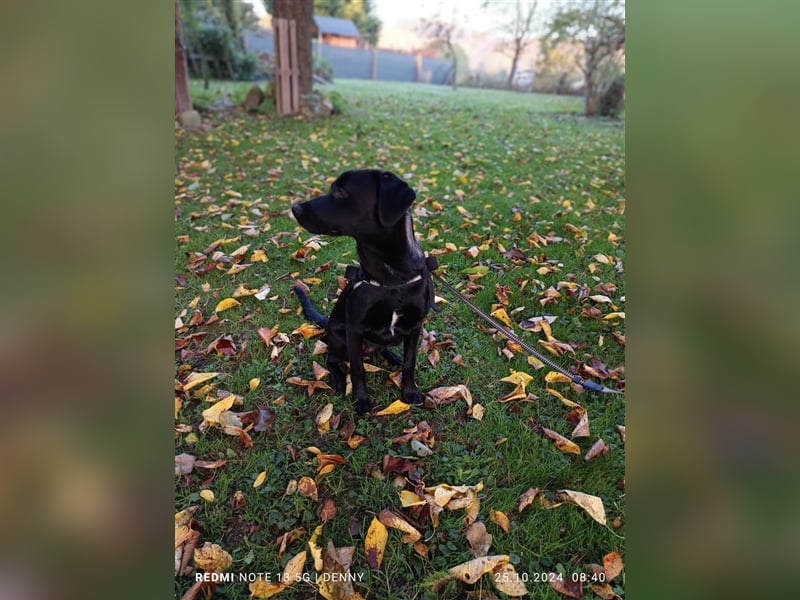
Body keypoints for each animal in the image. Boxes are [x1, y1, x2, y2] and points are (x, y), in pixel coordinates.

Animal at [290, 168, 438, 412]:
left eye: (340, 192)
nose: (295, 209)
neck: (391, 277)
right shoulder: (354, 330)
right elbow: (358, 369)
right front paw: (361, 400)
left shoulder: (415, 326)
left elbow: (410, 362)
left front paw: (409, 391)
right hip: (340, 339)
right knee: (332, 358)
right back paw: (338, 379)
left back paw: (392, 357)